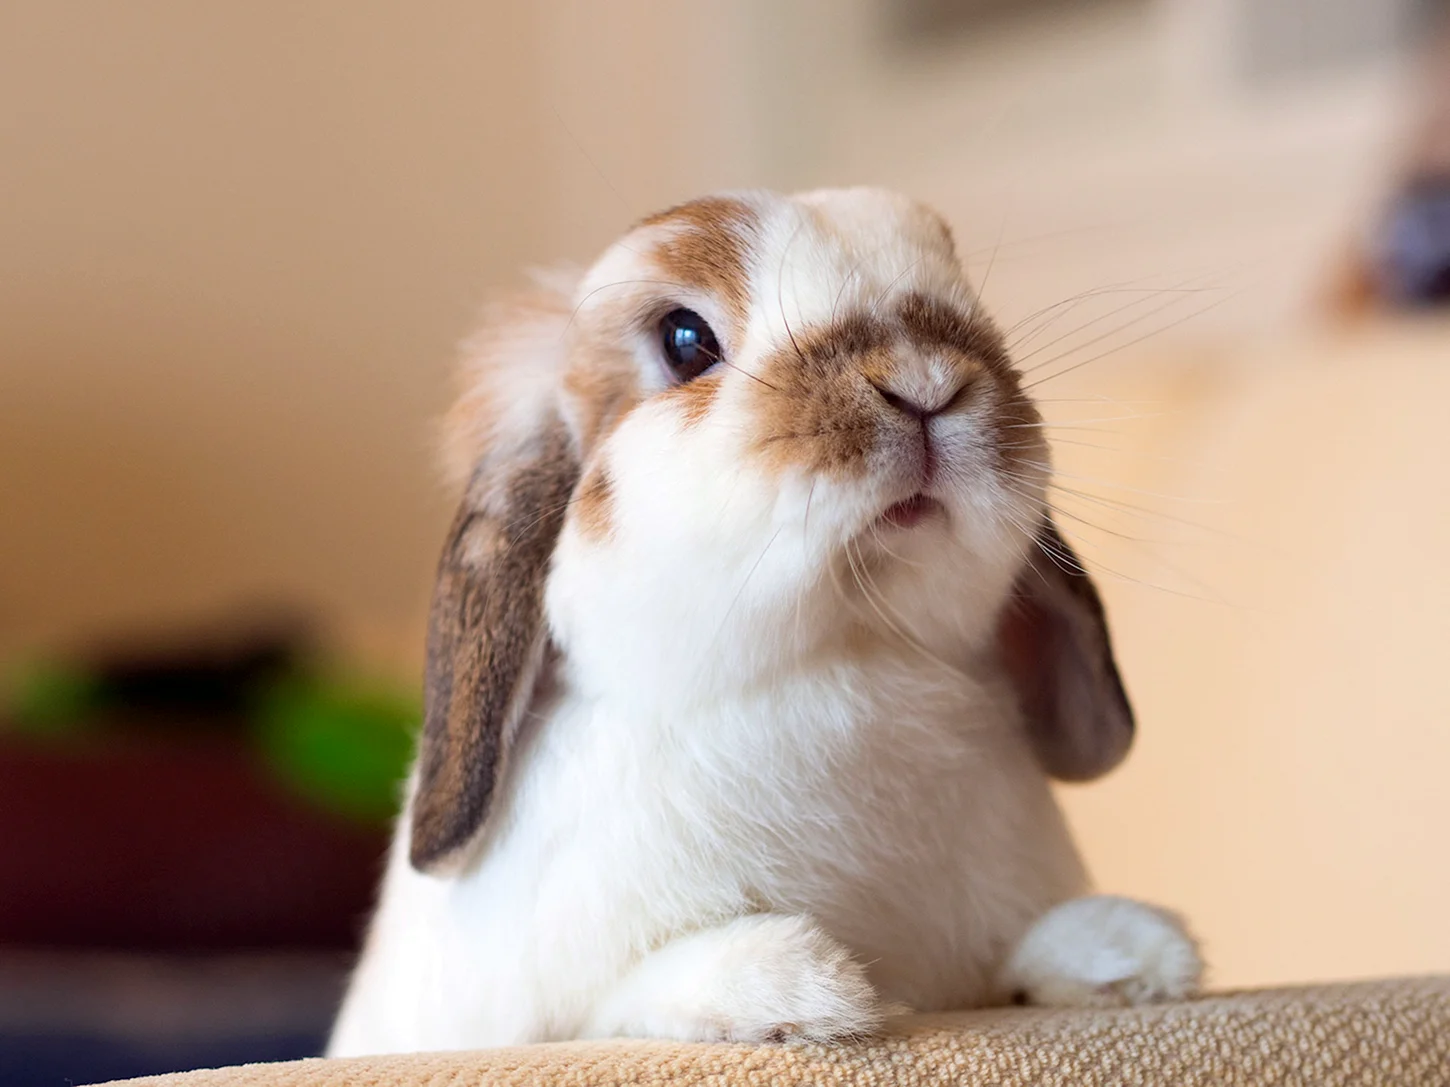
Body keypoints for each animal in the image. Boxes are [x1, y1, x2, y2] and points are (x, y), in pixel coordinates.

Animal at [327, 188, 1202, 1057]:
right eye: (685, 340)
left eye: (964, 297)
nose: (925, 381)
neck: (849, 648)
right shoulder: (555, 1013)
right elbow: (625, 996)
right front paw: (798, 985)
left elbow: (1022, 955)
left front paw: (1134, 951)